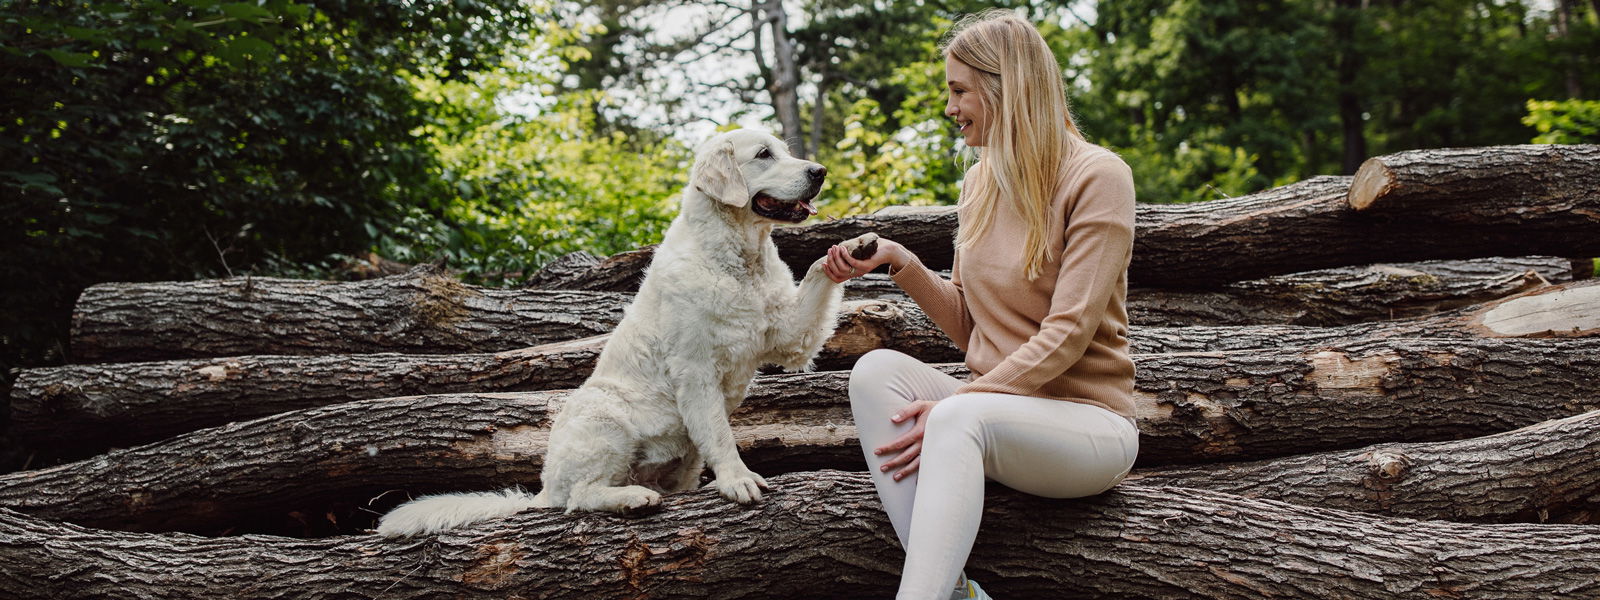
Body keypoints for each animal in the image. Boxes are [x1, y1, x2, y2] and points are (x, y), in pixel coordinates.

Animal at [374, 129, 876, 537]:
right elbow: (720, 434)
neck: (739, 260)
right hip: (604, 417)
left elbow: (816, 275)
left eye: (786, 151)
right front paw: (738, 480)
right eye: (764, 154)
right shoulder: (695, 368)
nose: (820, 172)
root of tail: (543, 489)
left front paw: (852, 248)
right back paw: (631, 498)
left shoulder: (788, 335)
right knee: (579, 497)